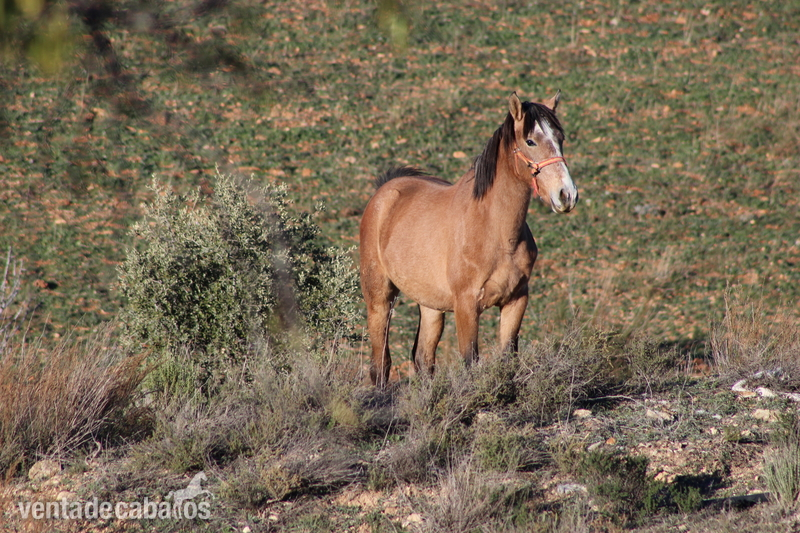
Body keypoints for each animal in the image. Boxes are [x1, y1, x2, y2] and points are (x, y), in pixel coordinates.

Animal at [359, 92, 578, 388]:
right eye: (530, 141)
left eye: (560, 138)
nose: (567, 195)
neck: (496, 234)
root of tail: (384, 192)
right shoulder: (466, 307)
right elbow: (470, 363)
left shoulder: (516, 300)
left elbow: (508, 359)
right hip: (379, 298)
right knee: (381, 363)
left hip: (430, 306)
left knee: (423, 359)